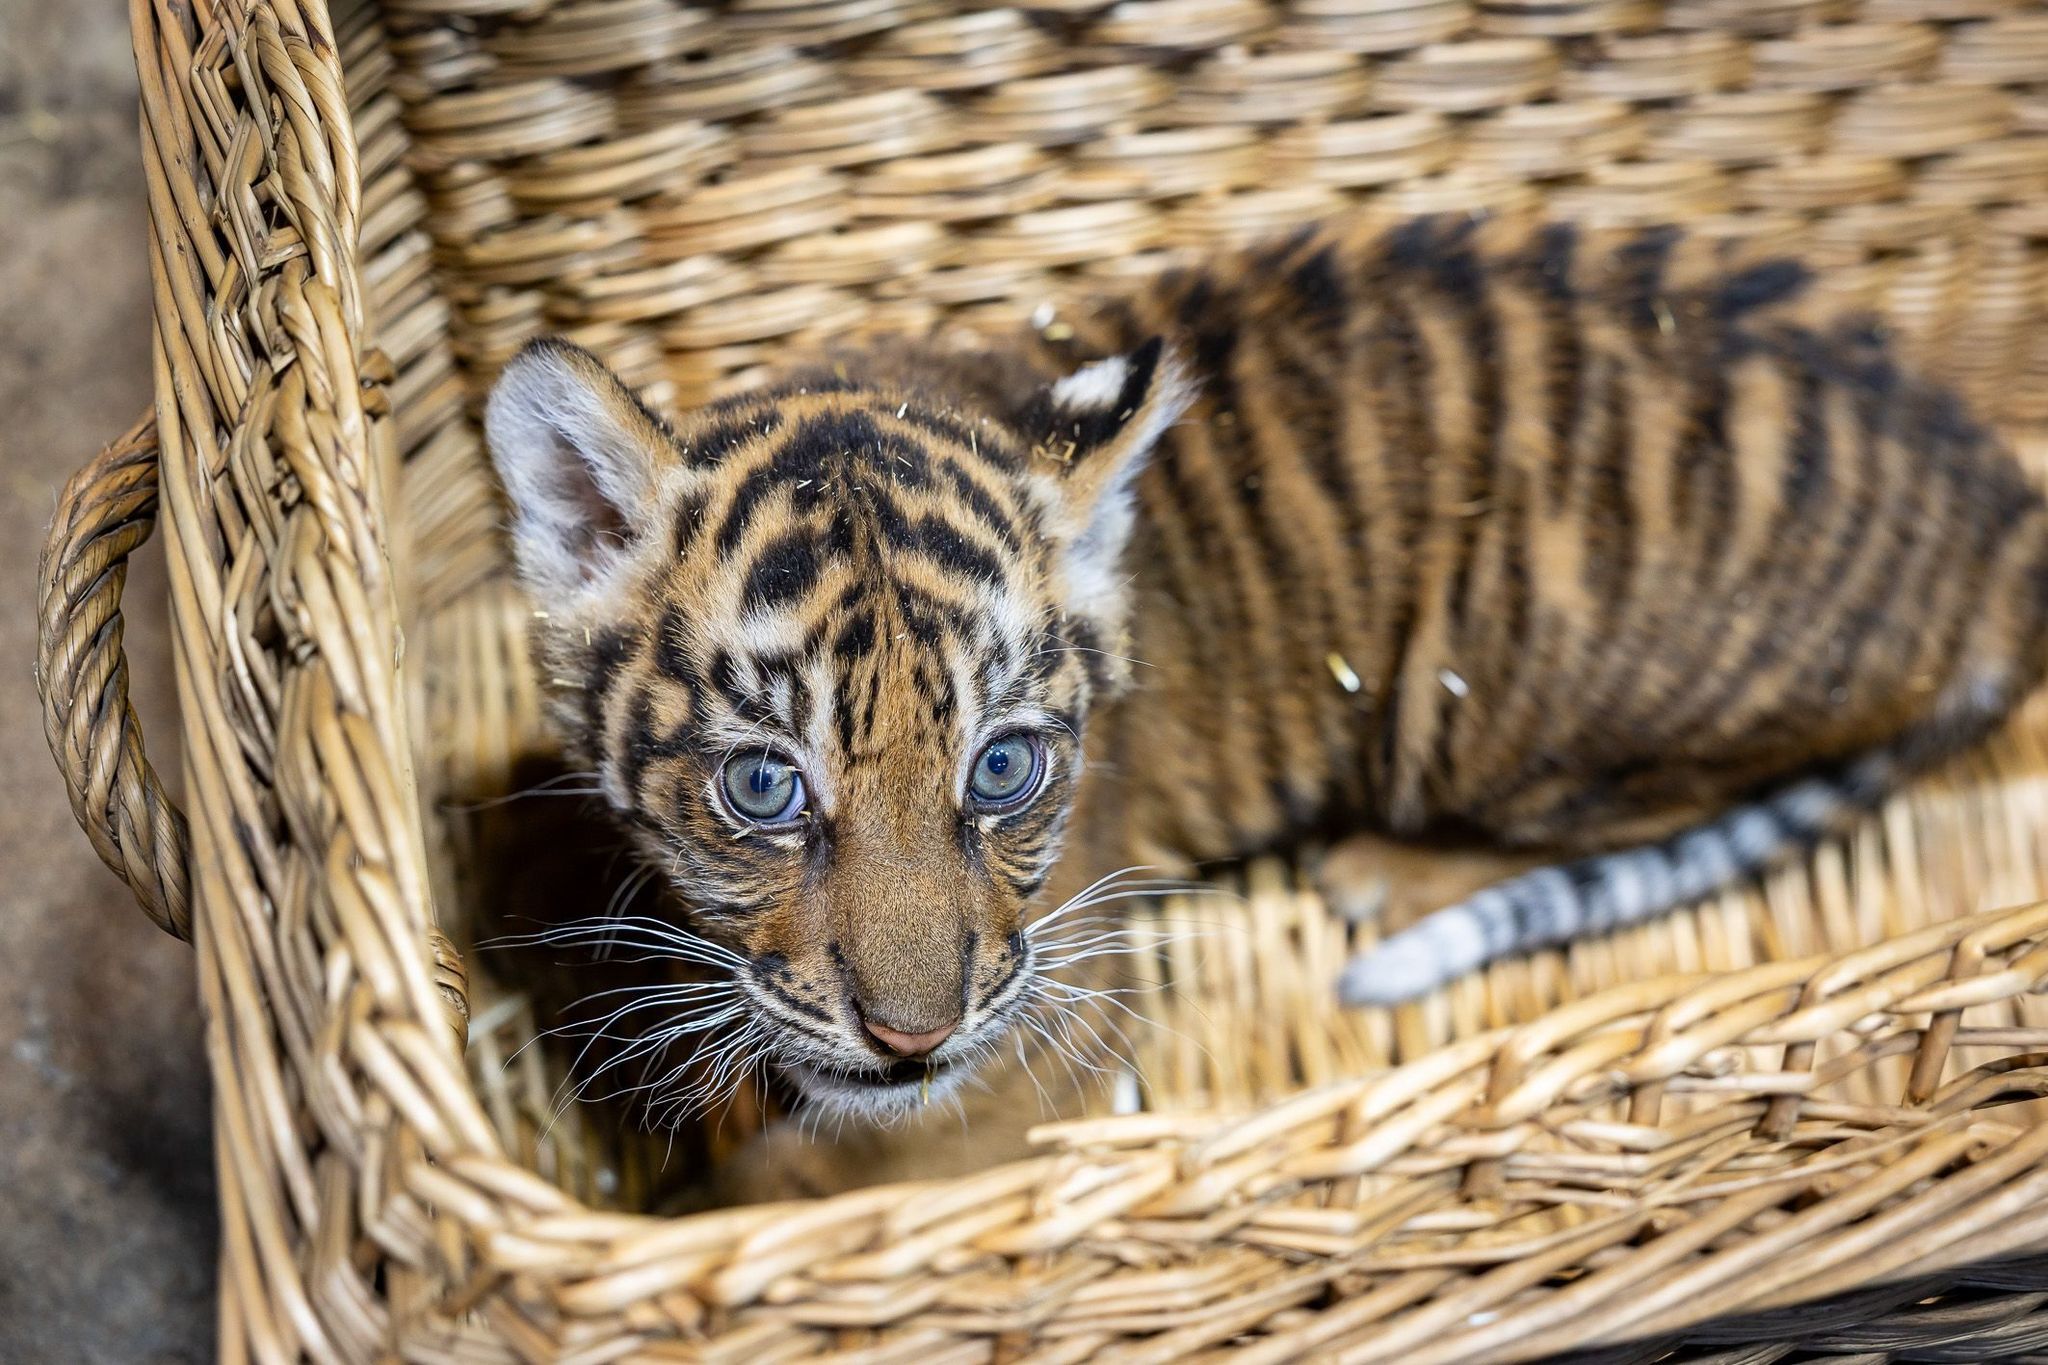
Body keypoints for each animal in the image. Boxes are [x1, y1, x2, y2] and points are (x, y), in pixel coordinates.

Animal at [483, 213, 2048, 1181]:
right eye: (764, 784)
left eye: (1001, 770)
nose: (912, 1037)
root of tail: (1999, 514)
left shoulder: (1034, 1047)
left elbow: (820, 1176)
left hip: (1492, 687)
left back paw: (1385, 871)